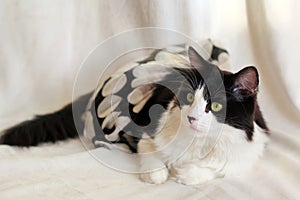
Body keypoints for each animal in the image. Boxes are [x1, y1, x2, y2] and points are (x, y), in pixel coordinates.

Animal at [0, 42, 268, 186]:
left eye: (216, 107)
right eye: (190, 98)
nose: (191, 118)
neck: (197, 142)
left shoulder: (247, 153)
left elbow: (216, 168)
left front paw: (184, 173)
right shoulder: (148, 132)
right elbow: (152, 155)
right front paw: (158, 174)